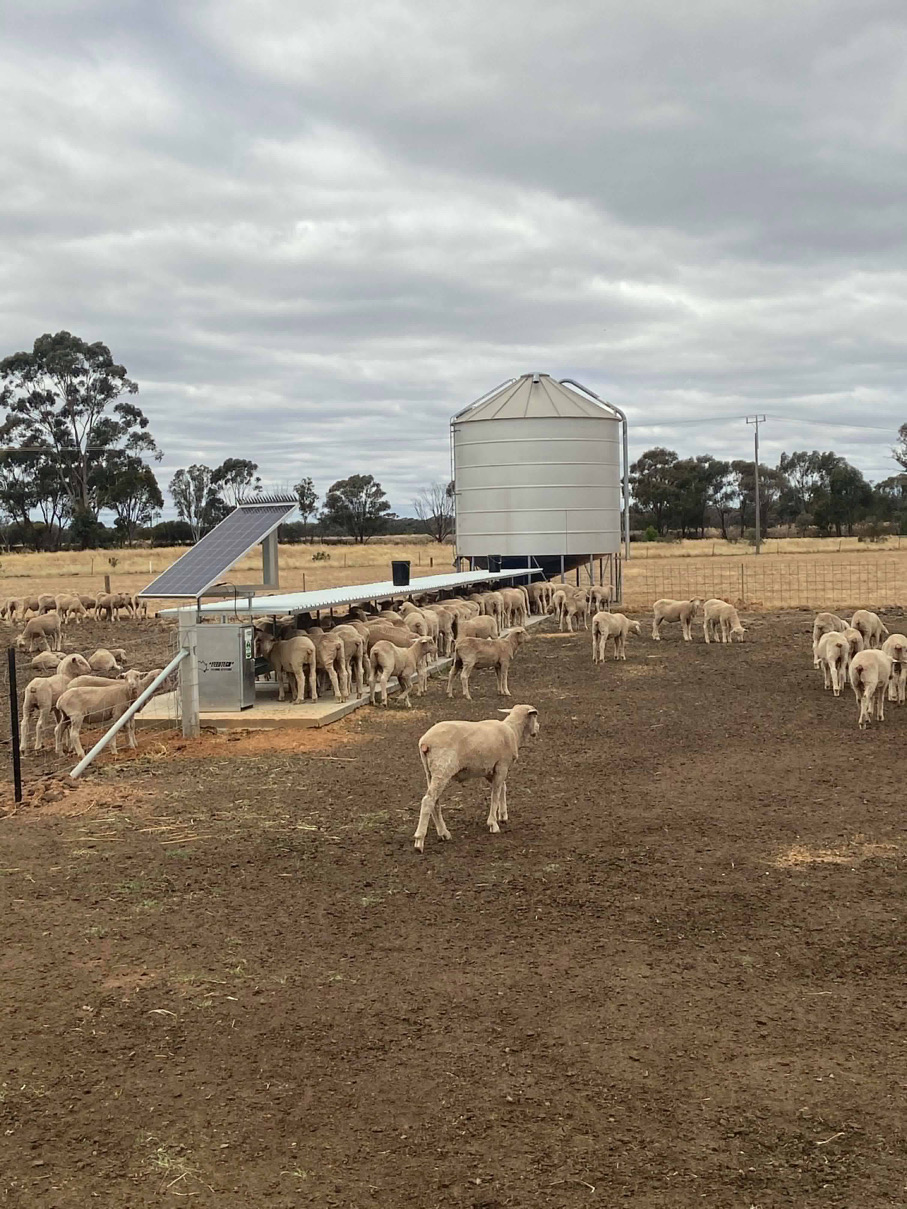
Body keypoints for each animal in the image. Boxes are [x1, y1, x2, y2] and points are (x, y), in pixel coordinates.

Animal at [413, 704, 540, 852]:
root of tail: (425, 742)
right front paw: (493, 824)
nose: (538, 728)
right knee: (428, 800)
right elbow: (495, 794)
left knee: (435, 801)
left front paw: (503, 815)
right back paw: (419, 840)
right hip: (442, 769)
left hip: (429, 771)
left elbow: (502, 788)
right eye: (535, 716)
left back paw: (443, 833)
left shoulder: (490, 770)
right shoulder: (502, 766)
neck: (513, 731)